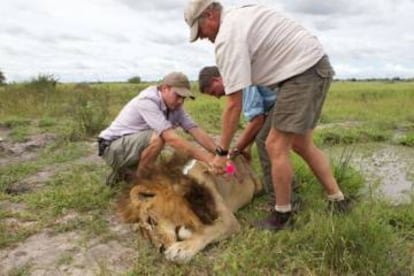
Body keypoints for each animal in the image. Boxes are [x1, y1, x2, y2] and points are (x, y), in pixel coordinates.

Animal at [116, 153, 262, 264]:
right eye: (147, 236)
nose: (161, 249)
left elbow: (208, 230)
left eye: (151, 221)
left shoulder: (228, 220)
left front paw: (181, 249)